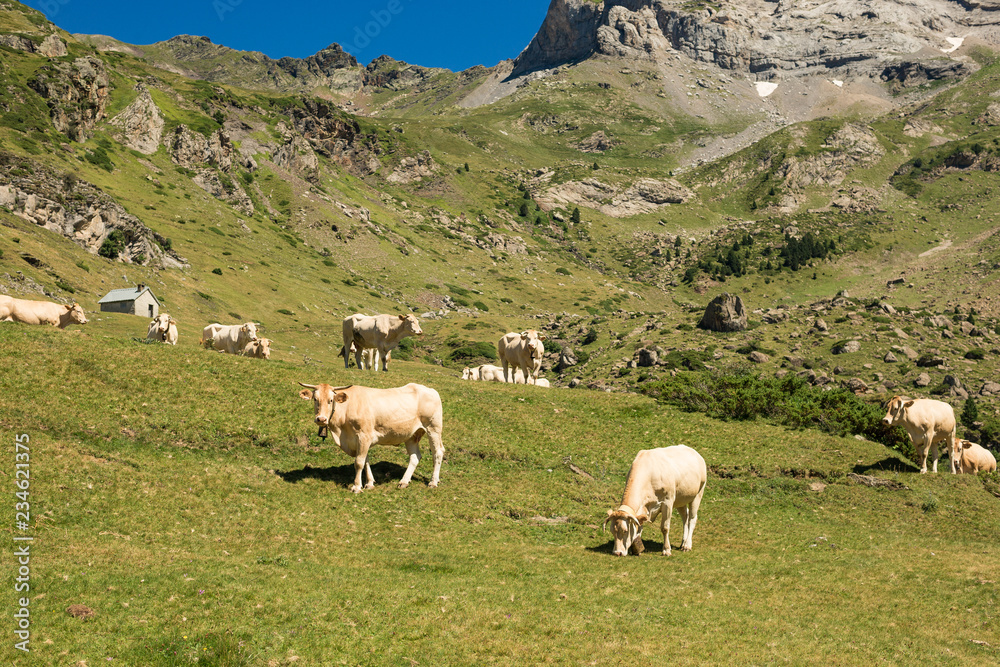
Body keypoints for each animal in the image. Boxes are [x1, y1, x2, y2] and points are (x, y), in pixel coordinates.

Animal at [298, 382, 444, 493]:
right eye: (315, 399)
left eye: (331, 400)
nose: (321, 419)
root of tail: (430, 390)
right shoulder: (360, 440)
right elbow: (366, 461)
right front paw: (369, 483)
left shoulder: (364, 435)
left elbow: (359, 462)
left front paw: (357, 487)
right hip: (411, 435)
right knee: (415, 457)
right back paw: (404, 481)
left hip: (433, 428)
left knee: (438, 453)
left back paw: (433, 482)